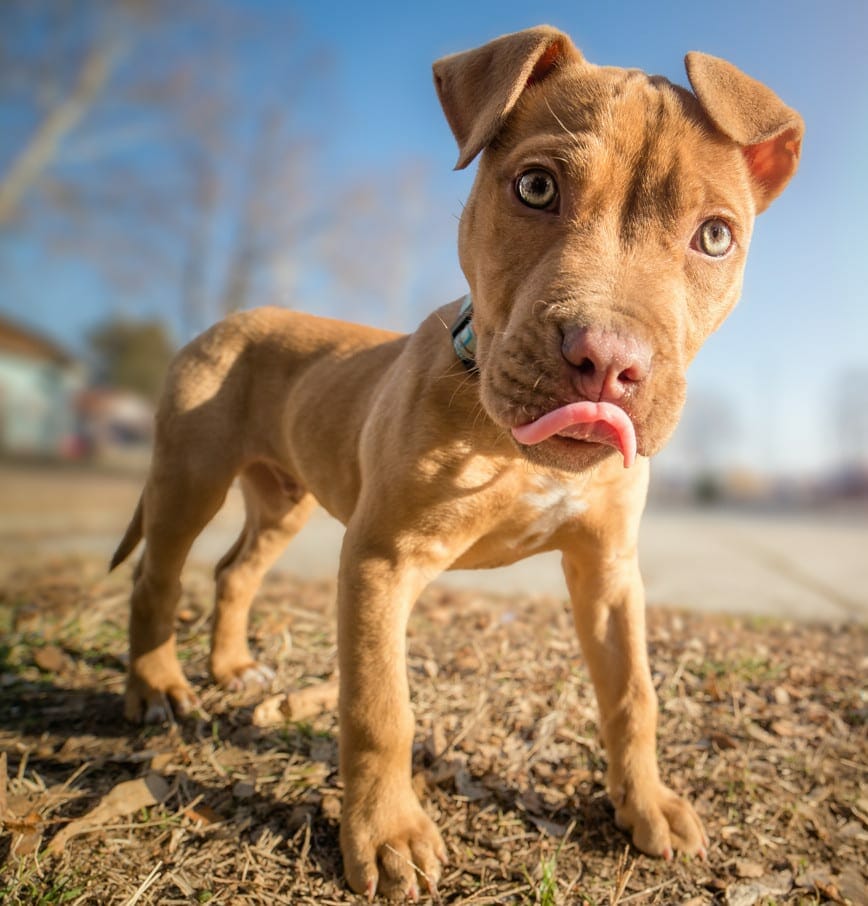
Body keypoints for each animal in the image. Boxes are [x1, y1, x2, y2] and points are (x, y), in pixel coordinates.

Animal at [112, 26, 804, 896]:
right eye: (536, 187)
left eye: (715, 236)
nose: (608, 363)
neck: (512, 446)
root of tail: (230, 319)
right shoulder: (380, 559)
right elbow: (379, 707)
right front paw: (386, 836)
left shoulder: (609, 570)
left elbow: (633, 694)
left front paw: (645, 802)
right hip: (189, 475)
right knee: (158, 574)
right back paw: (156, 687)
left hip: (285, 496)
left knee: (235, 569)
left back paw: (233, 667)